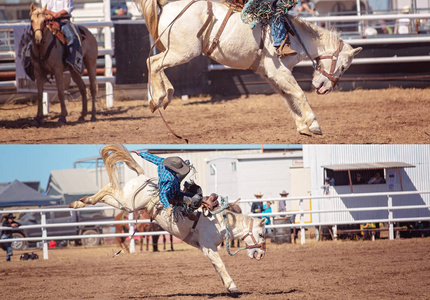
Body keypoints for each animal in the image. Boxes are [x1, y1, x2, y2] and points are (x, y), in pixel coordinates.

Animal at [69, 144, 266, 292]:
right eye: (262, 234)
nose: (261, 255)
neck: (220, 224)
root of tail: (142, 177)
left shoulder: (205, 249)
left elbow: (216, 266)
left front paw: (227, 285)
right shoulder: (208, 246)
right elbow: (220, 264)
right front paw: (233, 287)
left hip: (125, 204)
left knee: (106, 194)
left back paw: (80, 202)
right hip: (128, 203)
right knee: (108, 189)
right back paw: (80, 202)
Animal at [135, 0, 362, 135]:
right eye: (343, 67)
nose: (326, 88)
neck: (297, 37)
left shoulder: (271, 74)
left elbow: (287, 97)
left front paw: (301, 126)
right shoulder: (279, 71)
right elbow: (298, 93)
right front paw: (313, 124)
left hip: (175, 51)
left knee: (152, 63)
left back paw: (163, 96)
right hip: (183, 52)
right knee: (154, 63)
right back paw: (158, 97)